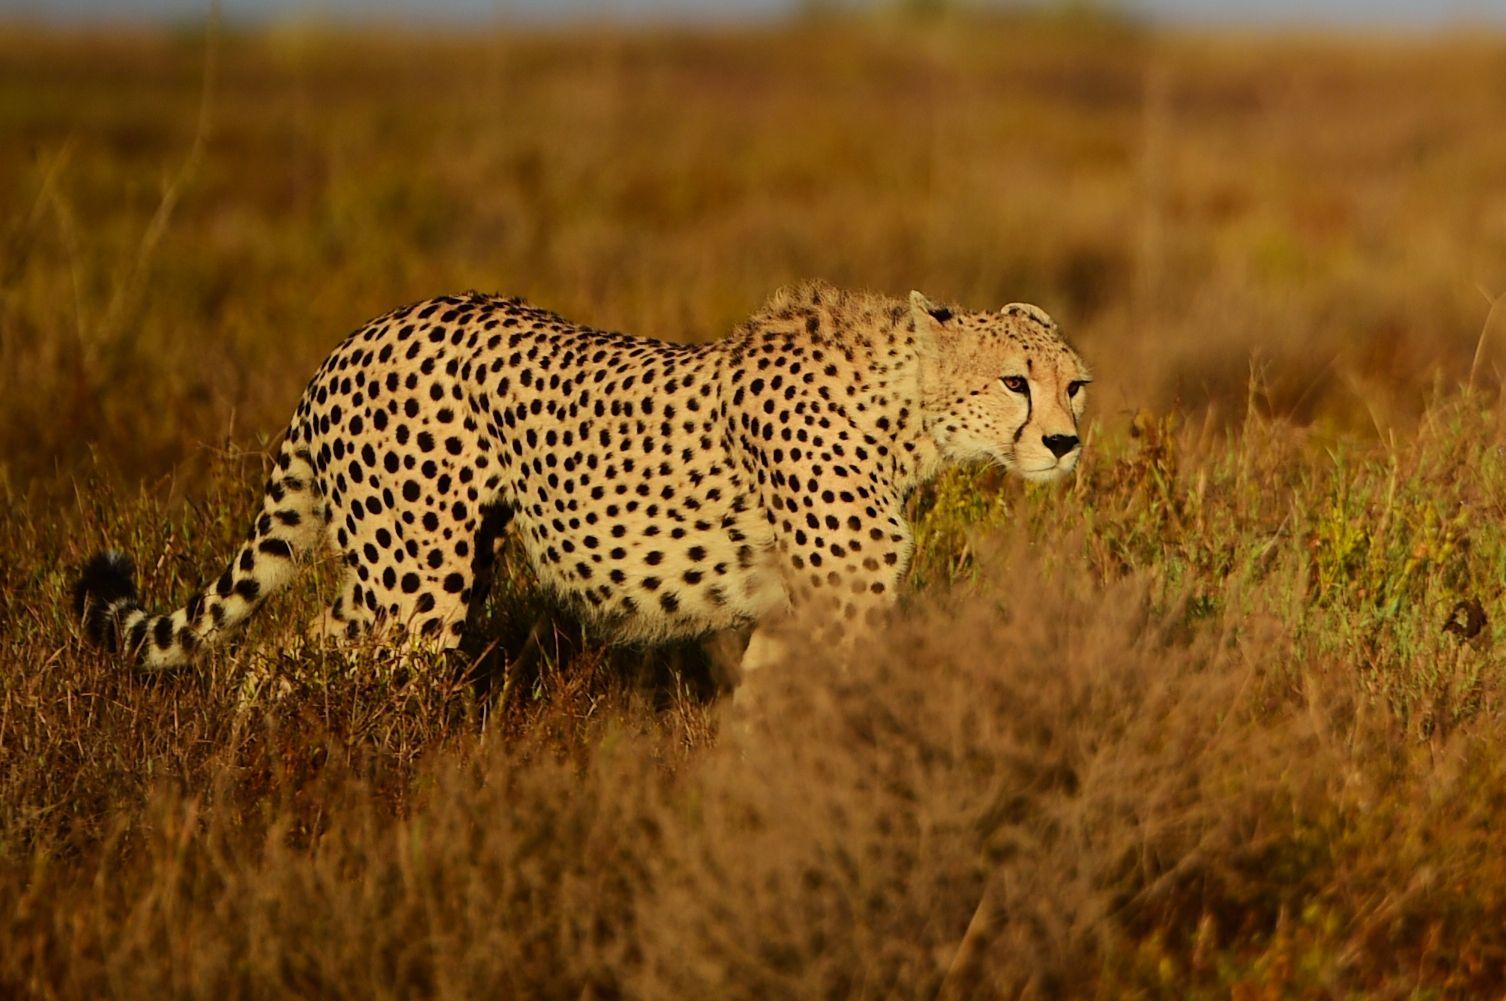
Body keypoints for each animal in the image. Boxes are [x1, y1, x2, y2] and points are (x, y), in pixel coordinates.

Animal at [73, 276, 1084, 674]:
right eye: (1013, 382)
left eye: (1073, 383)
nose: (1067, 442)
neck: (904, 411)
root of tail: (361, 332)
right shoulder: (842, 606)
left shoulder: (799, 611)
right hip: (417, 588)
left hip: (404, 568)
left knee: (285, 652)